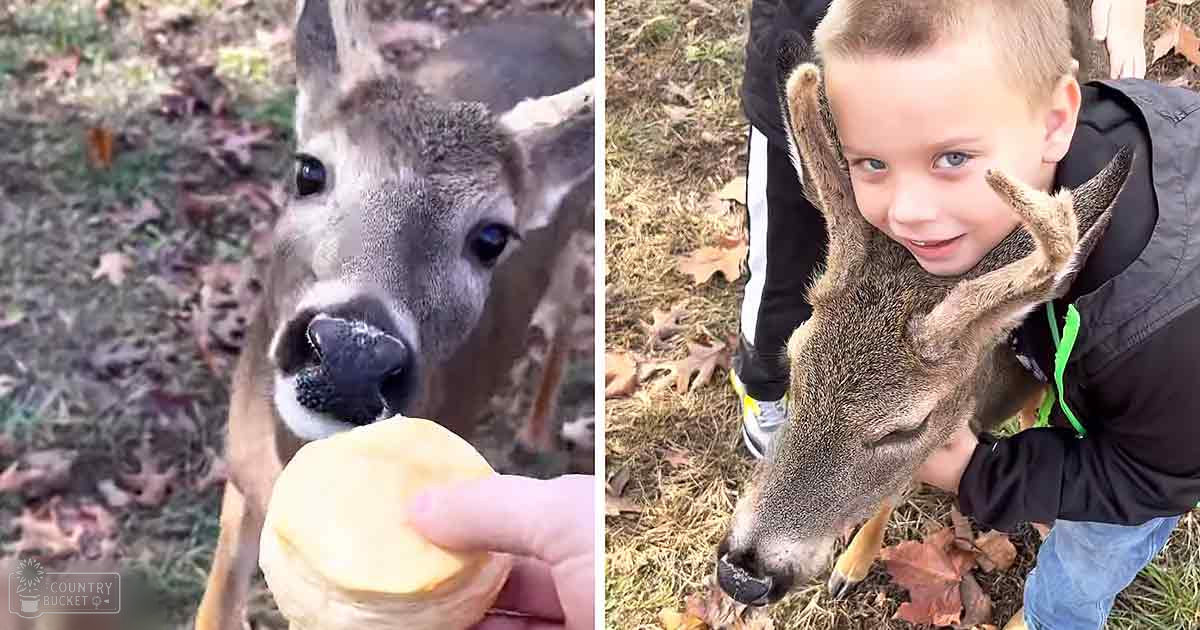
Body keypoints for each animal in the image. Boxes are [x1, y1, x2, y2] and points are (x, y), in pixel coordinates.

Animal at [192, 2, 594, 629]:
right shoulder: (240, 477)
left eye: (492, 238)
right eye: (309, 171)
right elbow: (215, 606)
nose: (353, 354)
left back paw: (535, 433)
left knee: (570, 306)